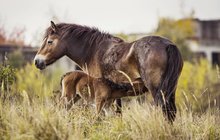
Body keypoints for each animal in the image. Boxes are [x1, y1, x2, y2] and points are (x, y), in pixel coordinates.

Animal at [34, 21, 182, 122]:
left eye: (49, 41)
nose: (37, 61)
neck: (94, 50)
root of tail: (168, 45)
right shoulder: (115, 92)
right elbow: (117, 112)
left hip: (156, 90)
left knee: (164, 111)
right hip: (170, 89)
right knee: (171, 112)